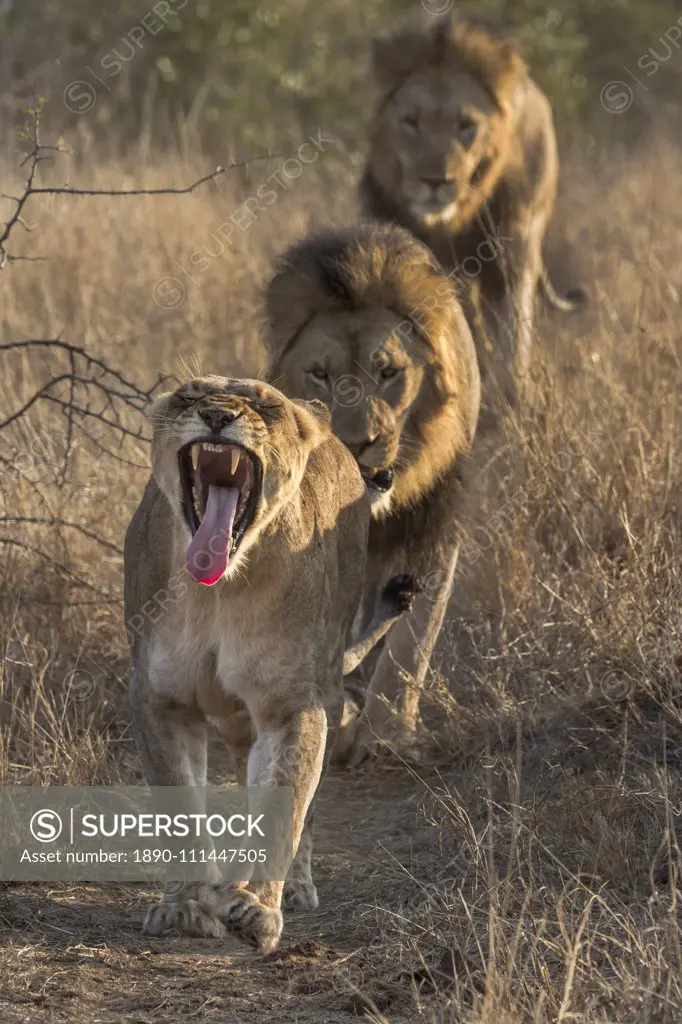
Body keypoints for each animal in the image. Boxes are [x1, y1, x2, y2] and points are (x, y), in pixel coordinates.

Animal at [260, 226, 477, 770]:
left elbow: (413, 638)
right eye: (320, 374)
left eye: (388, 372)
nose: (358, 441)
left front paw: (387, 736)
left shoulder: (435, 516)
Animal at [358, 9, 581, 397]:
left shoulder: (513, 247)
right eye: (410, 122)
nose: (435, 181)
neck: (452, 223)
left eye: (466, 125)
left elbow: (512, 327)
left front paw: (509, 391)